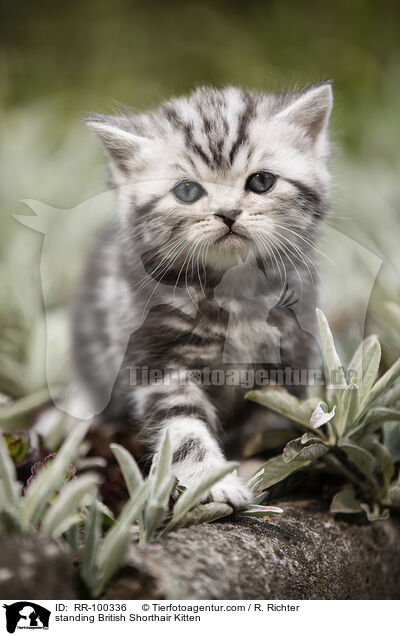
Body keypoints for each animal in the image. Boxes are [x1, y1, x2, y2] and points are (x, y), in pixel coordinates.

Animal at [72, 82, 334, 510]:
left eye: (261, 182)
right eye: (187, 191)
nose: (228, 213)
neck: (238, 297)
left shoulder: (287, 359)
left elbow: (269, 423)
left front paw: (262, 468)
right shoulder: (158, 359)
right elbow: (181, 428)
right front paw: (213, 481)